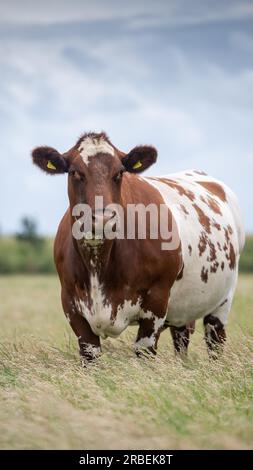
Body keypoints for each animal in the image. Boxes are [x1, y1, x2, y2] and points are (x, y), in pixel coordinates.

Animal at [32, 132, 245, 364]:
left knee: (215, 342)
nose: (102, 219)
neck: (99, 264)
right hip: (183, 309)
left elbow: (144, 352)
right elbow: (89, 354)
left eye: (119, 173)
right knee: (181, 340)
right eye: (75, 172)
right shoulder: (72, 305)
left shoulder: (156, 303)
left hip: (223, 300)